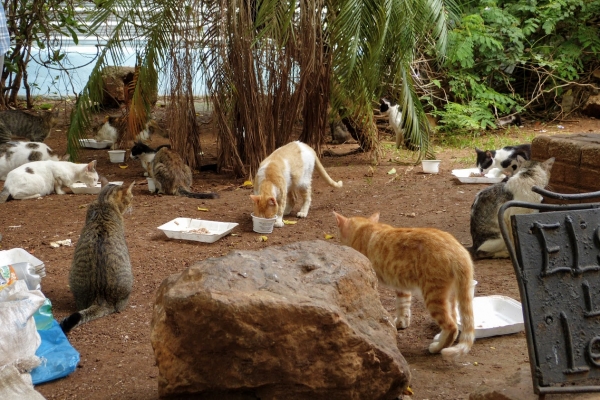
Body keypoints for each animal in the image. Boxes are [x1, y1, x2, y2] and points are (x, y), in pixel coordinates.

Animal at [332, 211, 474, 360]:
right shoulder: (402, 286)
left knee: (451, 326)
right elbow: (403, 305)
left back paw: (437, 347)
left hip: (433, 296)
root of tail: (459, 250)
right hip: (450, 296)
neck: (363, 227)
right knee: (454, 319)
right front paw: (401, 323)